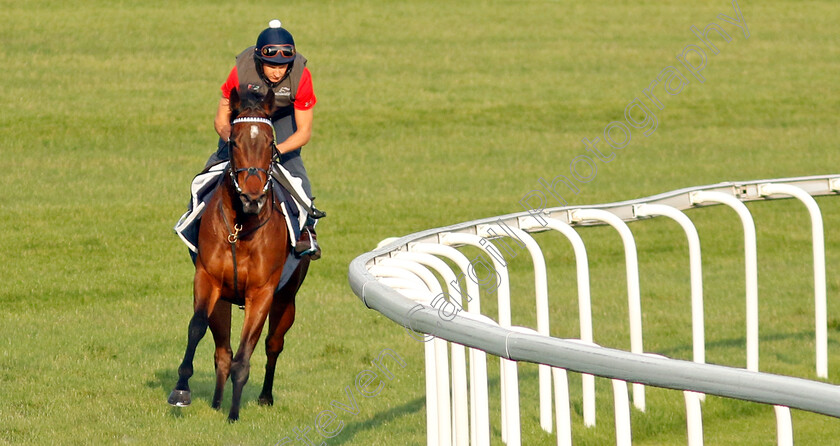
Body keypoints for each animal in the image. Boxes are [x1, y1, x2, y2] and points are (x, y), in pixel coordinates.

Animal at [167, 87, 308, 422]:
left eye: (270, 143)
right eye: (233, 141)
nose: (252, 197)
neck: (241, 226)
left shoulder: (262, 292)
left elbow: (245, 354)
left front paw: (234, 413)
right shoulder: (208, 279)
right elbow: (196, 328)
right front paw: (181, 390)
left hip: (287, 298)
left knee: (272, 344)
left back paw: (264, 396)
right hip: (224, 300)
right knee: (222, 351)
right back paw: (217, 401)